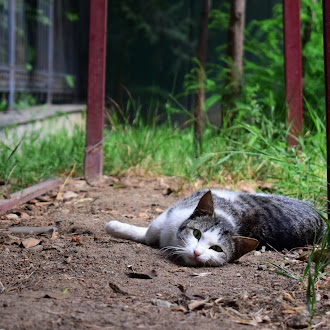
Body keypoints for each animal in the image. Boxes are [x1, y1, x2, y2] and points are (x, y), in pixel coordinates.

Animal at [106, 188, 324, 266]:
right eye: (196, 233)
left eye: (216, 249)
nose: (197, 252)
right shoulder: (171, 216)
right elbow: (151, 232)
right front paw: (115, 226)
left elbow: (148, 234)